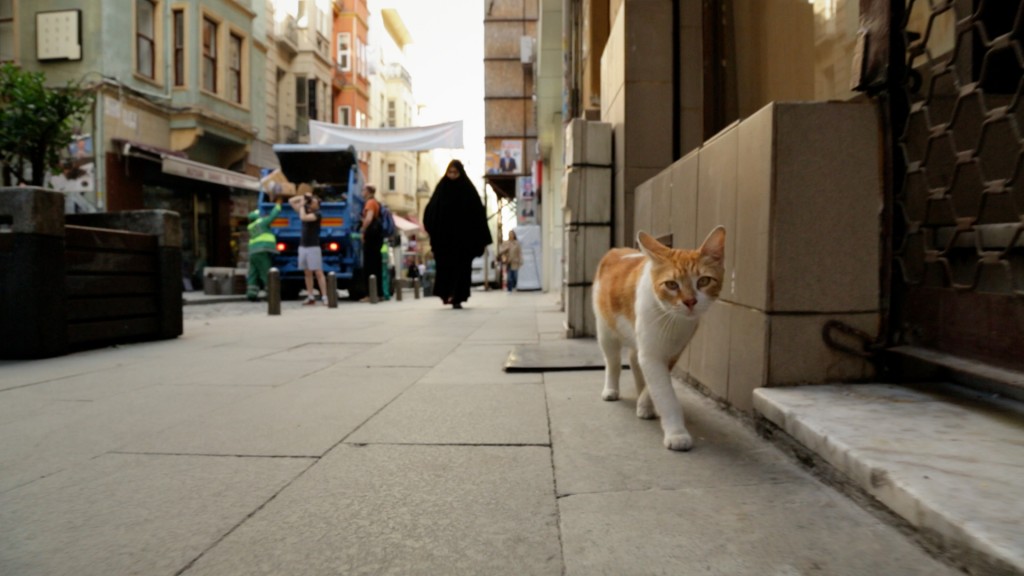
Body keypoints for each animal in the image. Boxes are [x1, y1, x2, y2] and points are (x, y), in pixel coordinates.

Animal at [589, 226, 724, 450]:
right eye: (671, 285)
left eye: (703, 281)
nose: (690, 301)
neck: (673, 319)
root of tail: (617, 250)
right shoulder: (652, 352)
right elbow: (665, 393)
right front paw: (677, 433)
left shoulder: (673, 350)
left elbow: (655, 383)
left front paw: (645, 402)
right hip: (606, 329)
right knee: (613, 362)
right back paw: (611, 389)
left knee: (634, 360)